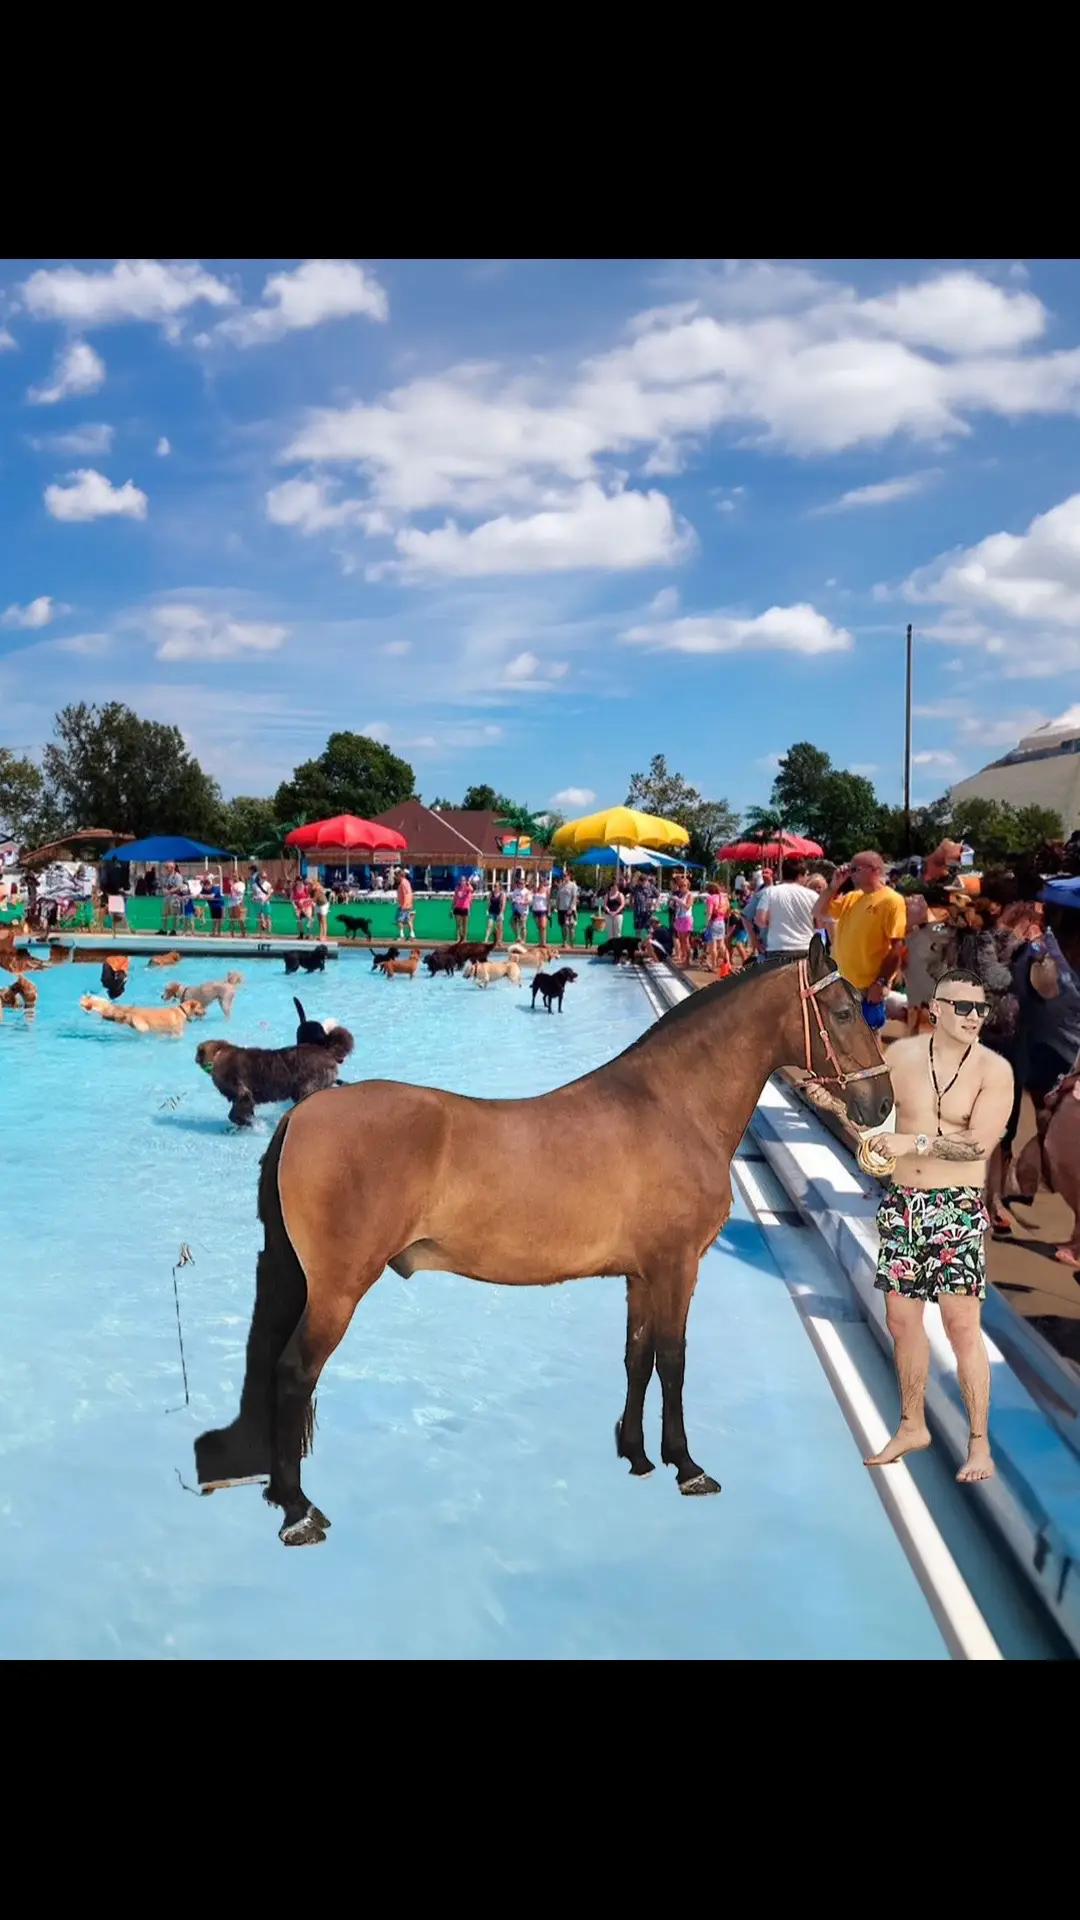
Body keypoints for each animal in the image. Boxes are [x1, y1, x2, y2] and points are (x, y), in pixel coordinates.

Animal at [193, 1029, 353, 1128]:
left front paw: (245, 1123)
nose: (195, 1058)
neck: (218, 1055)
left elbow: (235, 1113)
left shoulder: (241, 1093)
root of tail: (327, 1051)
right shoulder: (244, 1098)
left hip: (307, 1088)